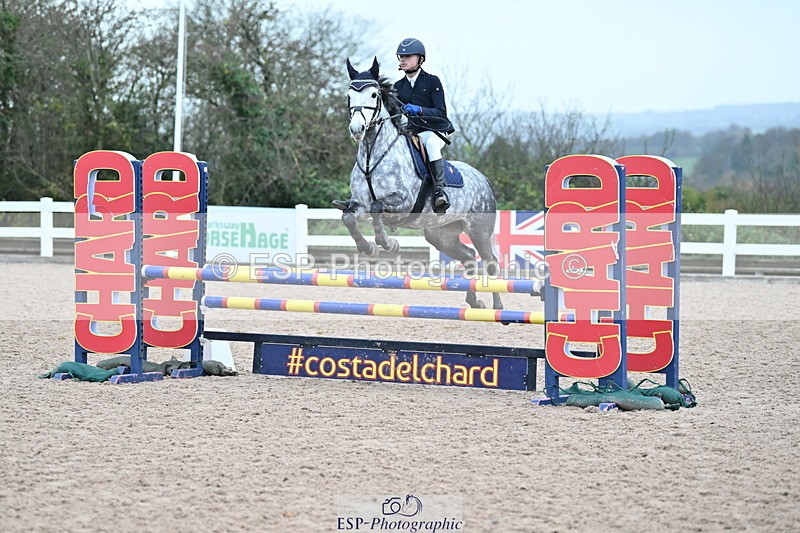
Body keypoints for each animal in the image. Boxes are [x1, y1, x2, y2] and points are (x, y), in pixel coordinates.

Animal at [342, 57, 502, 310]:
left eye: (374, 95)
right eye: (349, 95)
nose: (357, 130)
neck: (371, 156)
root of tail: (483, 178)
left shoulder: (402, 203)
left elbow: (378, 207)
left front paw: (389, 244)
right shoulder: (360, 206)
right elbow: (348, 217)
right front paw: (368, 247)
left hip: (479, 231)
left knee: (490, 261)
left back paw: (497, 306)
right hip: (441, 235)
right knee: (468, 256)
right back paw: (475, 301)